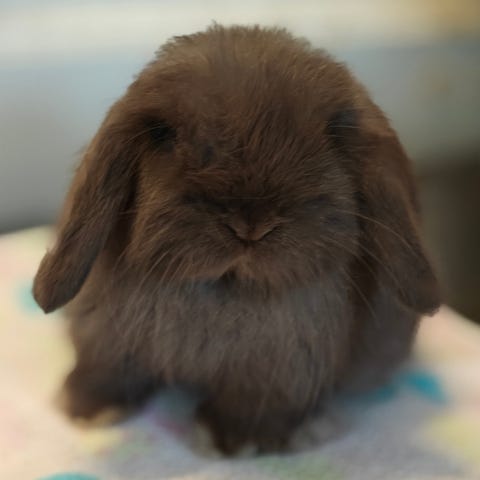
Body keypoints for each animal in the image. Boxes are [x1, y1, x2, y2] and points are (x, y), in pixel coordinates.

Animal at [33, 25, 440, 454]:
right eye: (163, 135)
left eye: (331, 136)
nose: (251, 225)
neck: (221, 286)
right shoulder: (107, 337)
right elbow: (106, 369)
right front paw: (86, 408)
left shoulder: (279, 367)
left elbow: (256, 402)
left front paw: (236, 440)